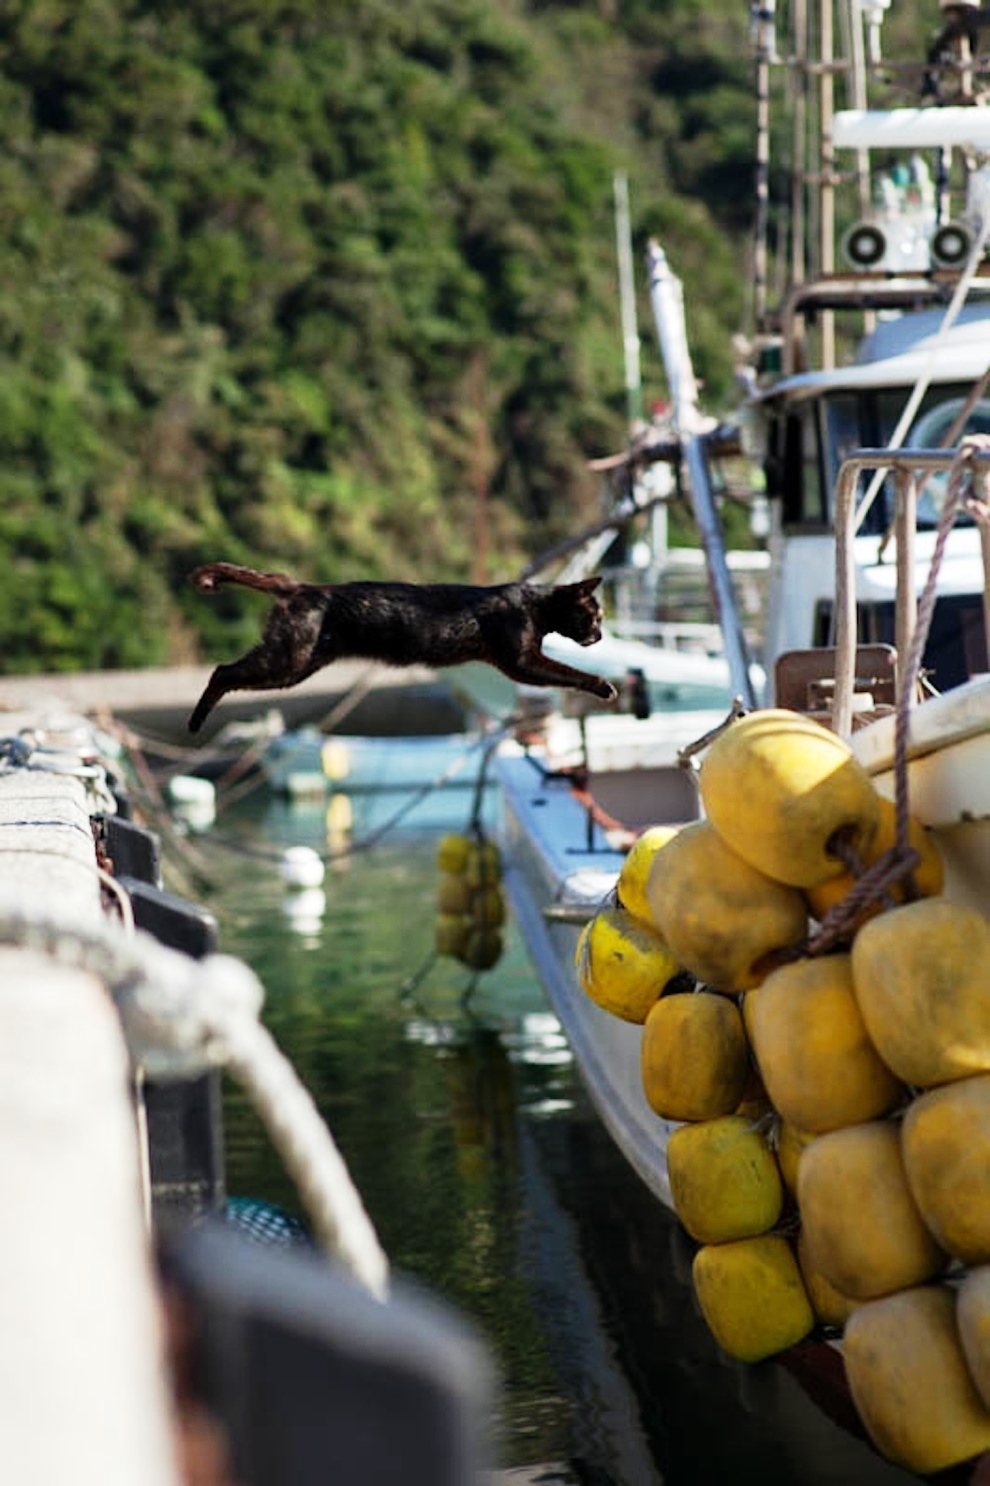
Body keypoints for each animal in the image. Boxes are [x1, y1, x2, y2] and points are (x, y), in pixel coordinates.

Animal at [185, 558, 612, 734]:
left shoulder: (521, 662)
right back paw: (195, 721)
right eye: (596, 616)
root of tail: (301, 586)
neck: (534, 605)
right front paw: (603, 685)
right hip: (287, 661)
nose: (600, 636)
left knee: (228, 673)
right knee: (221, 672)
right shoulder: (521, 661)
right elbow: (568, 672)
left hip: (296, 664)